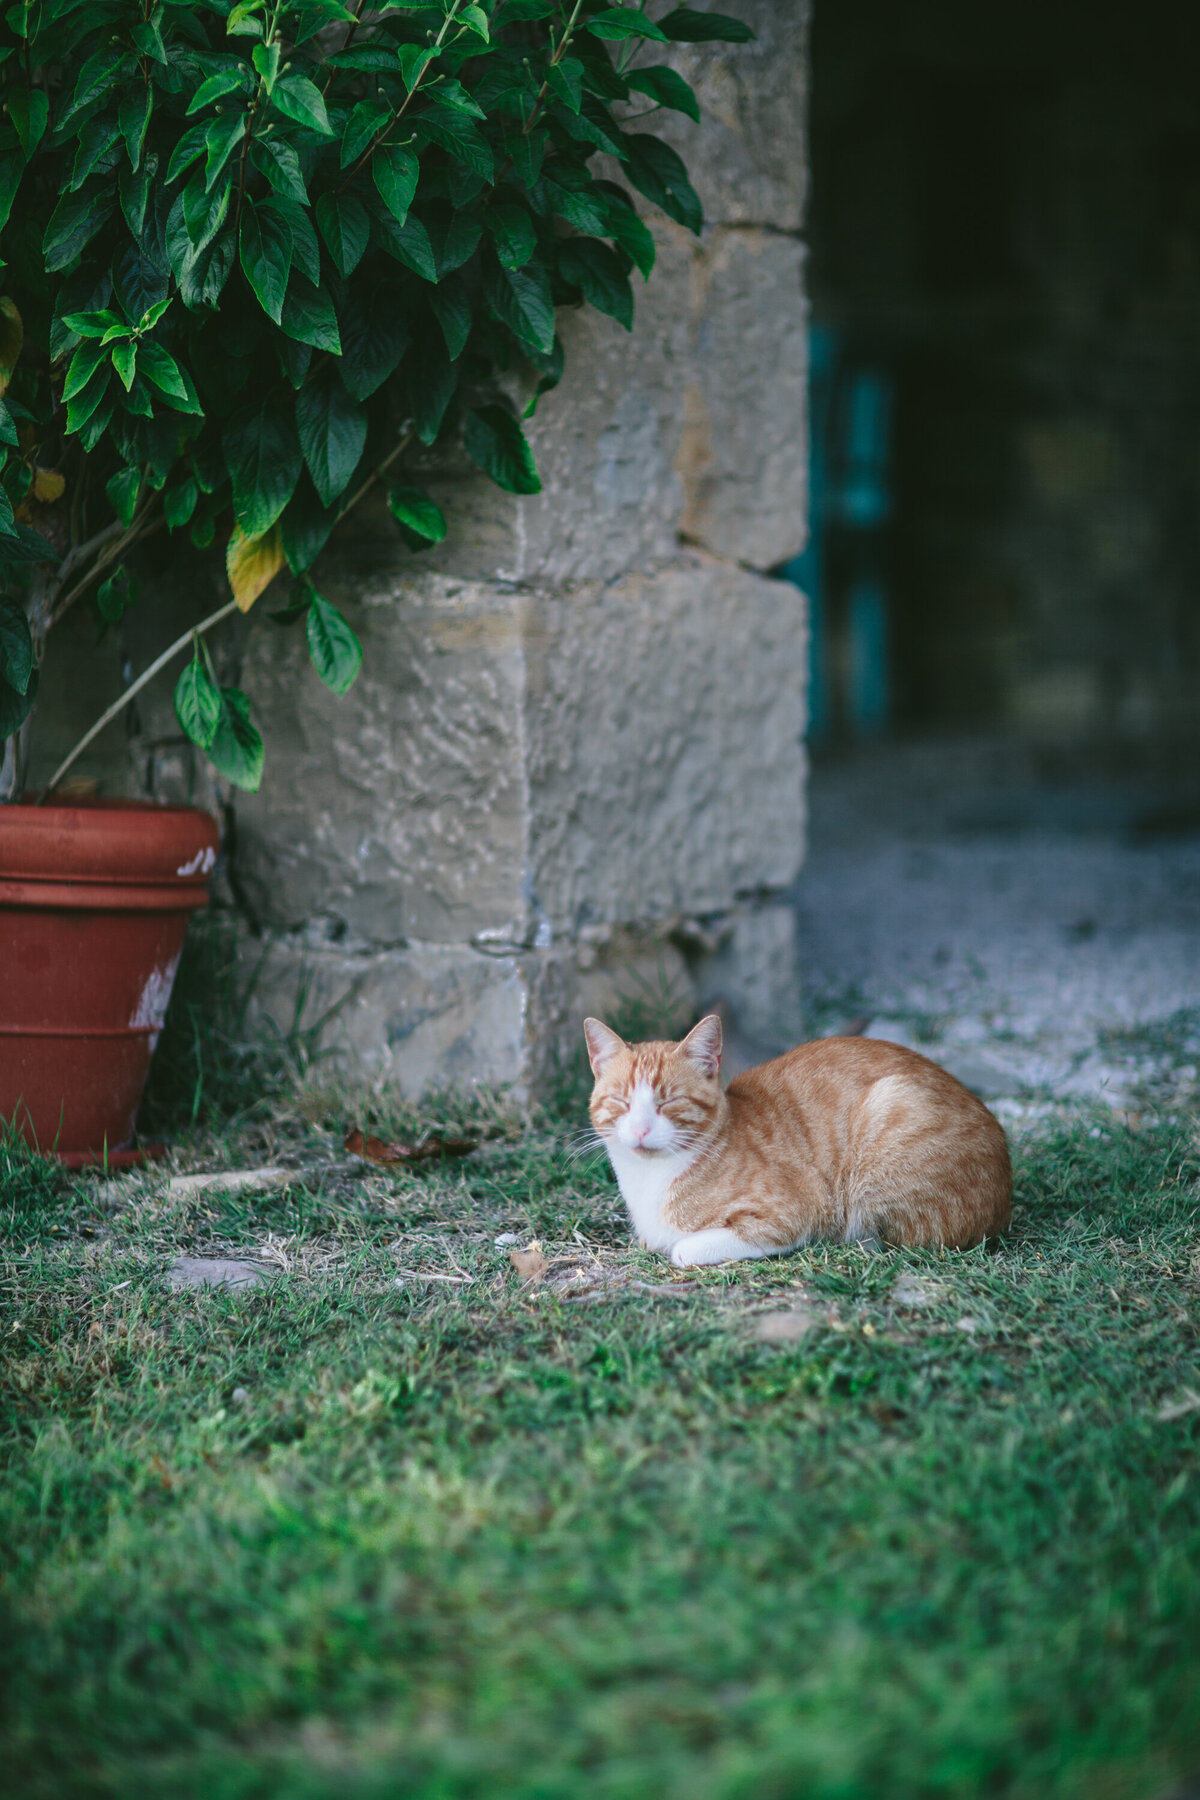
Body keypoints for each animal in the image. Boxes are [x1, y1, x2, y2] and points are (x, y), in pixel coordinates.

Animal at [582, 1015, 1014, 1267]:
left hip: (890, 1110)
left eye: (668, 1100)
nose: (640, 1128)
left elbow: (685, 1248)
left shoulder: (792, 1214)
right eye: (621, 1101)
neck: (649, 1180)